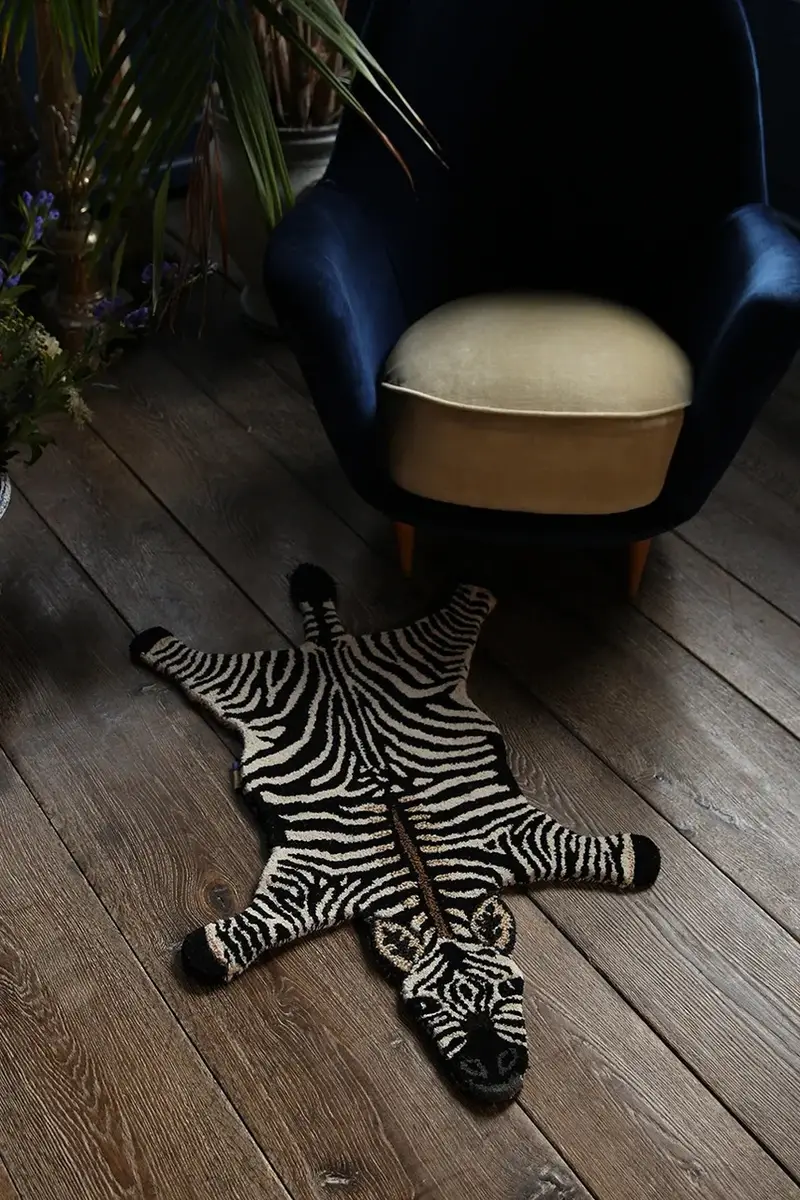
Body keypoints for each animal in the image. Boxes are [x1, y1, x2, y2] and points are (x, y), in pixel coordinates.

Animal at [130, 564, 660, 1104]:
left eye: (513, 989)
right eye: (422, 1007)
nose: (496, 1078)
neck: (428, 887)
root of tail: (330, 648)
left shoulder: (518, 838)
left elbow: (605, 855)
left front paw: (639, 853)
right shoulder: (313, 886)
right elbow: (249, 930)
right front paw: (204, 951)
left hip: (420, 654)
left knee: (457, 618)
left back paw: (467, 587)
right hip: (247, 690)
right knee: (196, 665)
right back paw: (155, 641)